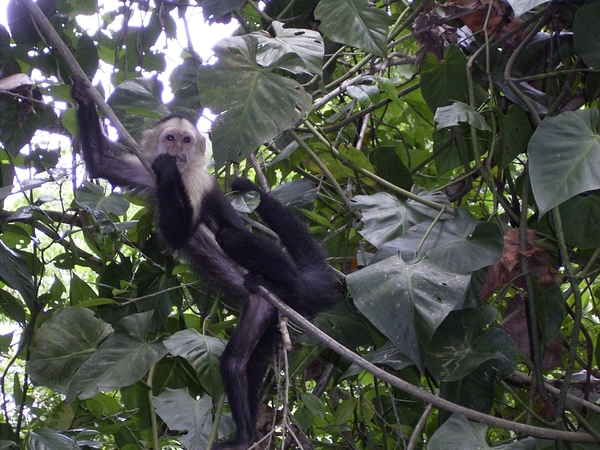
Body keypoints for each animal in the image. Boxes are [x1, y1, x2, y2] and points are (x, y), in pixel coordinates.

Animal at [70, 77, 338, 450]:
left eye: (187, 141)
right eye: (171, 138)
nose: (179, 154)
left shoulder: (196, 181)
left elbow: (183, 230)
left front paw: (170, 174)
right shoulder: (144, 170)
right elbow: (100, 164)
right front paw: (83, 94)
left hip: (273, 296)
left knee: (231, 237)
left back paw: (283, 281)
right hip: (265, 315)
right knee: (239, 363)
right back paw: (248, 428)